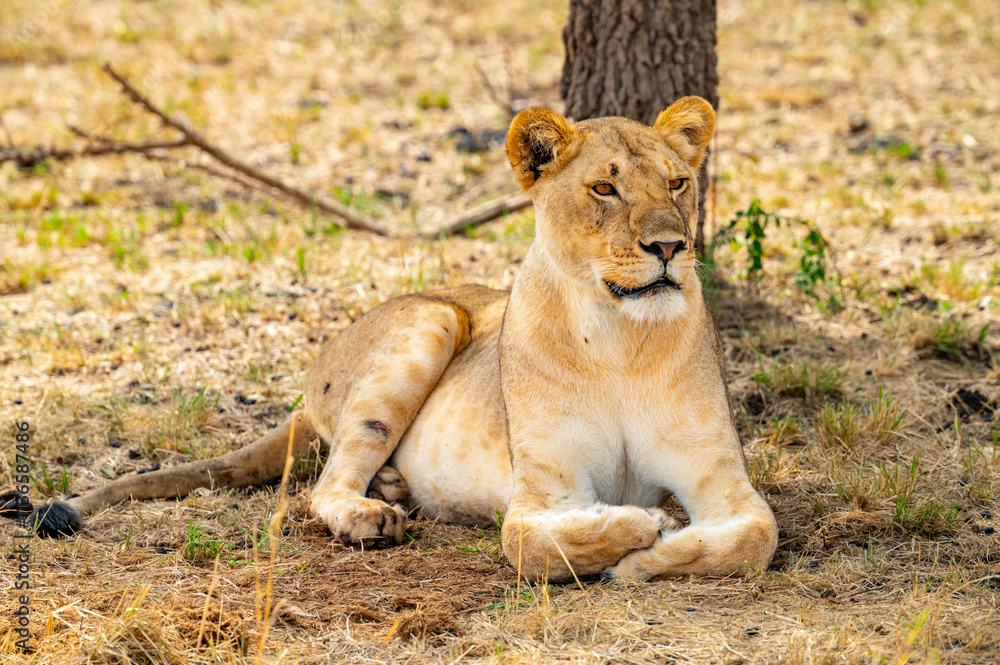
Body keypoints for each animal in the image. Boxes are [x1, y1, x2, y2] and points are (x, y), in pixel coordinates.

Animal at [14, 97, 777, 582]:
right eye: (603, 190)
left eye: (677, 183)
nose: (670, 247)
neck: (623, 341)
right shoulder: (546, 492)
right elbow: (532, 545)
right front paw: (646, 528)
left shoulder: (722, 478)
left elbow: (755, 536)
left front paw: (658, 550)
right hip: (431, 322)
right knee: (322, 486)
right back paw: (371, 514)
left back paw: (393, 487)